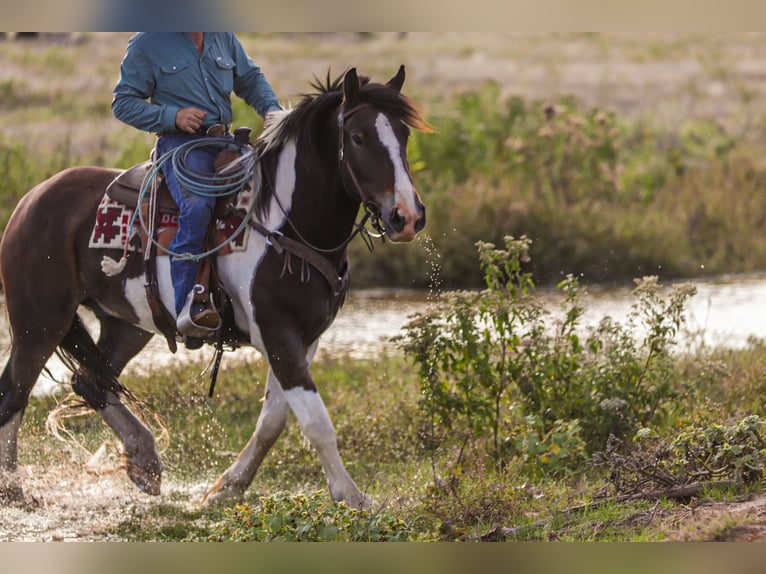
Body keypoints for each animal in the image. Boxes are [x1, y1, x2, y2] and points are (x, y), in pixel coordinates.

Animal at [0, 66, 431, 508]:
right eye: (358, 137)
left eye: (403, 135)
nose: (407, 216)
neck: (285, 224)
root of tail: (30, 199)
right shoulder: (278, 333)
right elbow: (315, 421)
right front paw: (351, 496)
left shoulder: (305, 338)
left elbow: (273, 420)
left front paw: (226, 487)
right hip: (39, 323)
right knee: (15, 394)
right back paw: (14, 489)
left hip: (126, 325)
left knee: (89, 381)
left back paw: (145, 459)